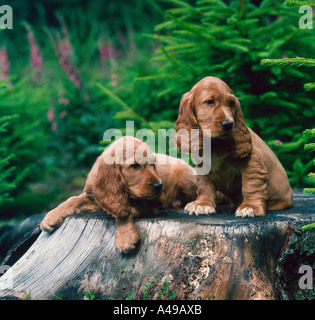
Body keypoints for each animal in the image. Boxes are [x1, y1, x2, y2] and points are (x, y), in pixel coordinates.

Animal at [39, 136, 198, 254]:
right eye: (135, 166)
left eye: (153, 165)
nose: (159, 186)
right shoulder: (95, 196)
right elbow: (73, 200)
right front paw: (51, 217)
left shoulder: (149, 203)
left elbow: (125, 211)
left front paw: (125, 237)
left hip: (185, 178)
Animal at [175, 76, 294, 219]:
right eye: (210, 102)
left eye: (231, 103)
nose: (229, 124)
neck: (215, 143)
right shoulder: (202, 166)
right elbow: (204, 185)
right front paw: (203, 203)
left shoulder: (253, 163)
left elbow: (251, 186)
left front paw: (250, 207)